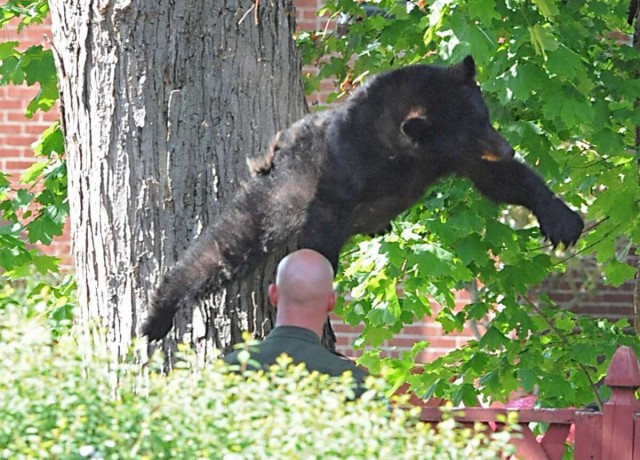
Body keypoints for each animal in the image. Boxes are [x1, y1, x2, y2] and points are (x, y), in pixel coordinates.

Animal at [141, 55, 584, 340]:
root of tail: (270, 154)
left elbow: (499, 179)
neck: (401, 150)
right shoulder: (338, 172)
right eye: (472, 128)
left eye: (485, 117)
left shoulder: (451, 158)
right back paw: (158, 313)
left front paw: (563, 219)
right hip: (275, 194)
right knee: (226, 243)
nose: (507, 147)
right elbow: (320, 231)